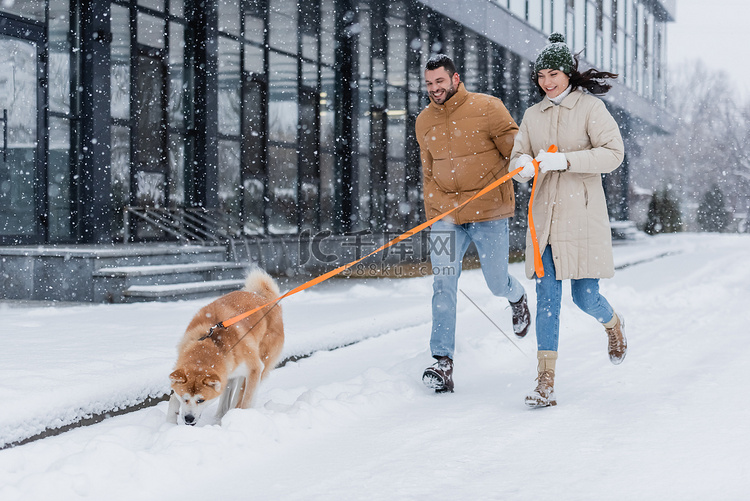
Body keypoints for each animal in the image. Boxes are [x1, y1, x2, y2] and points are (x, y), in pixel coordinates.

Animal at [167, 268, 284, 424]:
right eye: (184, 398)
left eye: (201, 400)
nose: (189, 419)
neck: (215, 344)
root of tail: (265, 298)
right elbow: (173, 397)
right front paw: (170, 422)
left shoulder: (255, 369)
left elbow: (246, 400)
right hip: (229, 372)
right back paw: (219, 416)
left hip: (261, 363)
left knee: (240, 393)